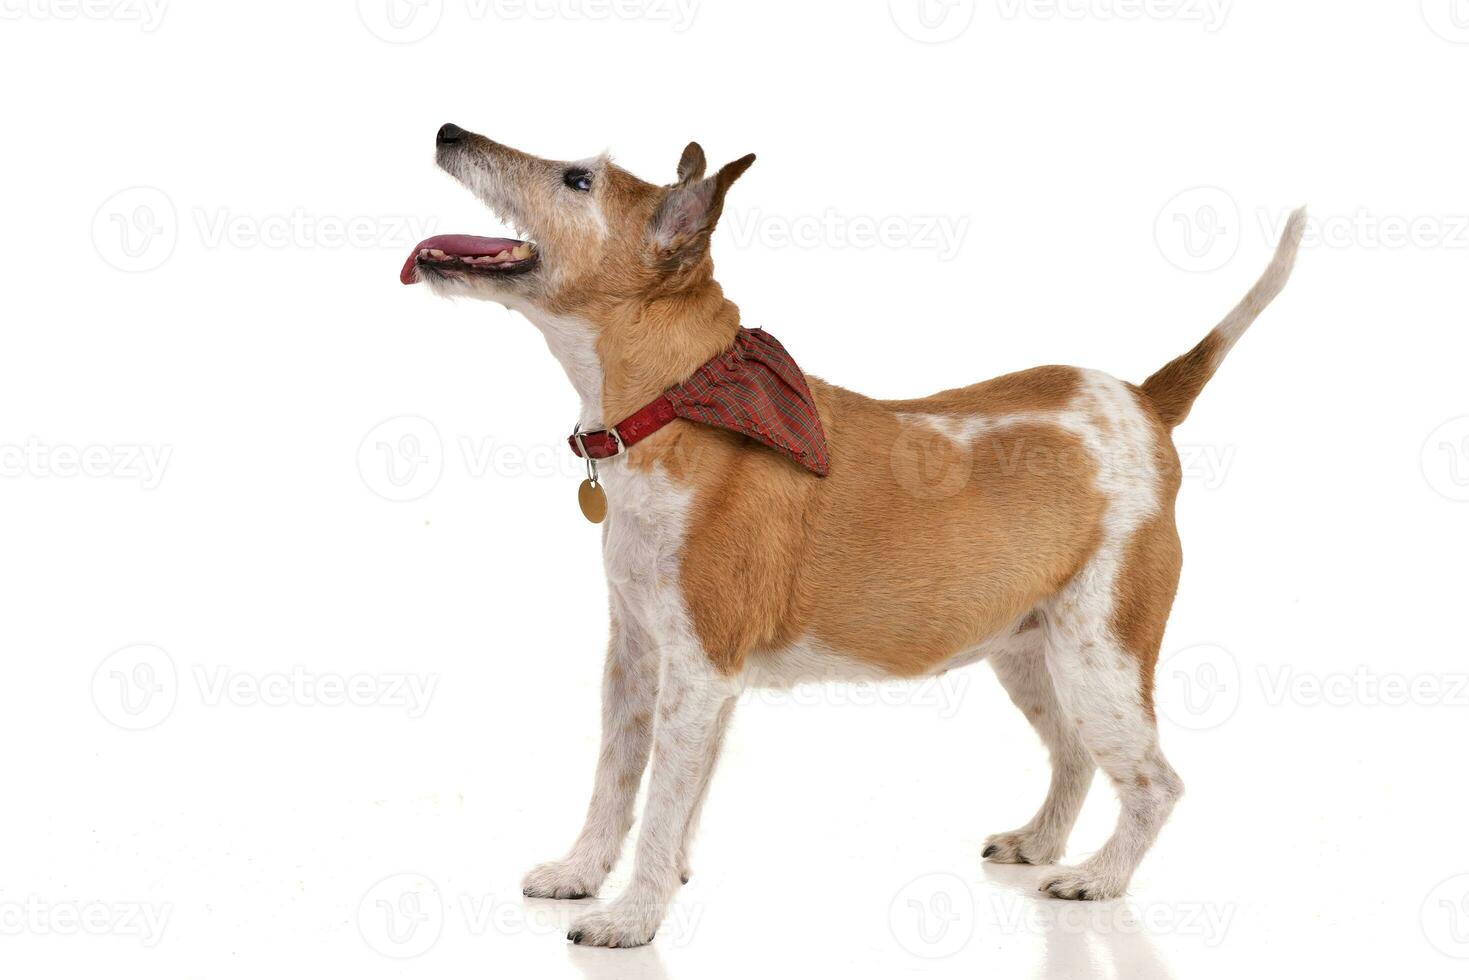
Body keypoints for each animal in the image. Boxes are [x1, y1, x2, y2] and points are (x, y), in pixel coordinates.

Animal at [405, 119, 1310, 946]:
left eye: (576, 180)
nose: (448, 130)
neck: (677, 401)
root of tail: (1141, 400)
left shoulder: (699, 668)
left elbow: (660, 800)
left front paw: (632, 915)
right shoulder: (636, 656)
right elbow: (617, 779)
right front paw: (584, 872)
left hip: (1102, 657)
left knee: (1156, 782)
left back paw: (1097, 877)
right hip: (1030, 651)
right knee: (1078, 755)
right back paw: (1039, 842)